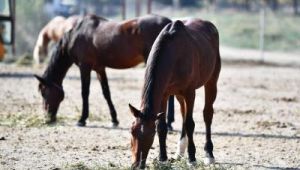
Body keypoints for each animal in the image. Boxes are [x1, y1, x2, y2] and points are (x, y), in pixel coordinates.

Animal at [34, 14, 172, 126]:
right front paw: (114, 120)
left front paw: (82, 119)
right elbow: (106, 93)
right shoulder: (99, 69)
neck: (76, 35)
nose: (47, 118)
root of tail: (169, 23)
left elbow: (85, 92)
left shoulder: (84, 67)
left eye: (43, 92)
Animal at [128, 18, 220, 169]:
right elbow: (162, 125)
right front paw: (163, 158)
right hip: (178, 94)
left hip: (212, 80)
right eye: (132, 131)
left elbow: (190, 124)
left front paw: (192, 158)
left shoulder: (190, 92)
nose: (137, 164)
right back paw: (180, 150)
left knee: (207, 115)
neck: (174, 53)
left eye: (151, 135)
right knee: (183, 113)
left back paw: (209, 154)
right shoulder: (164, 94)